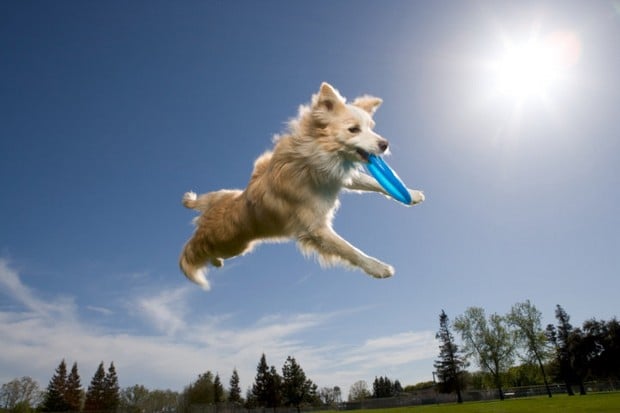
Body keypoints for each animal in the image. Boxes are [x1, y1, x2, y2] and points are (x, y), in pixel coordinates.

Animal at [177, 79, 424, 286]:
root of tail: (208, 214)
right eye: (353, 129)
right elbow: (350, 250)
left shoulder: (339, 175)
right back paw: (209, 257)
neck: (313, 160)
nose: (385, 143)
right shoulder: (317, 229)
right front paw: (377, 268)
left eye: (372, 127)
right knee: (200, 250)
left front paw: (411, 194)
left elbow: (373, 182)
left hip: (227, 207)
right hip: (232, 244)